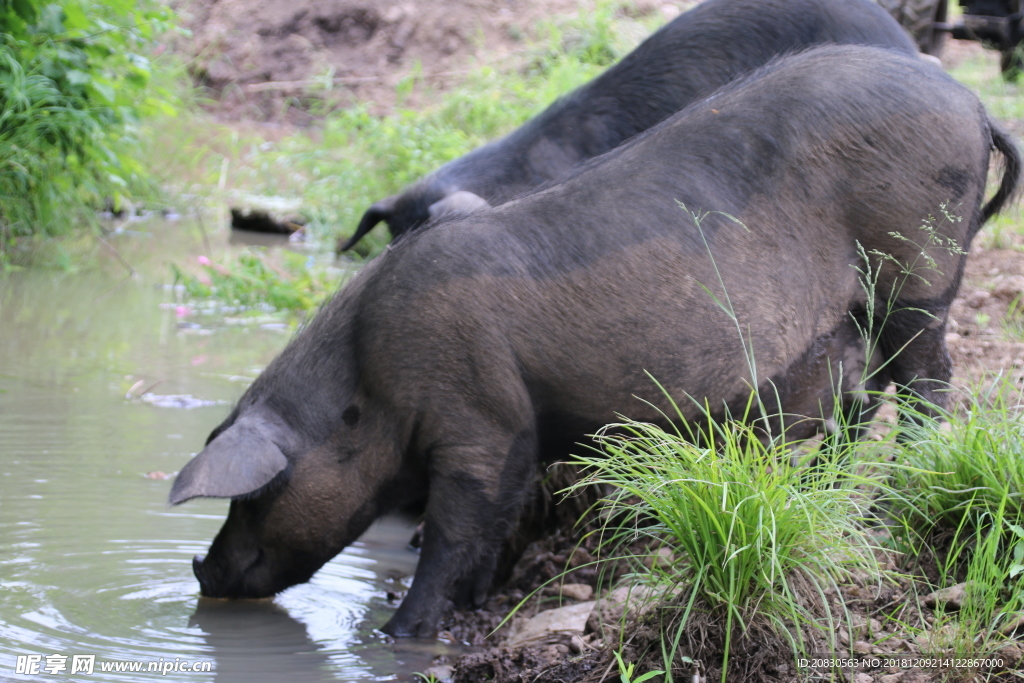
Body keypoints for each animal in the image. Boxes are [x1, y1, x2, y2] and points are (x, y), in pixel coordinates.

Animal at [172, 46, 1019, 634]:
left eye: (255, 494)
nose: (202, 570)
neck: (365, 384)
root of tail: (973, 103)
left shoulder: (477, 414)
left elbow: (453, 527)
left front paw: (400, 632)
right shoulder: (515, 435)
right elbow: (495, 523)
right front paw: (473, 603)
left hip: (916, 266)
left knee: (927, 379)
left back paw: (891, 492)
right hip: (855, 318)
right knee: (862, 398)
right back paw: (826, 490)